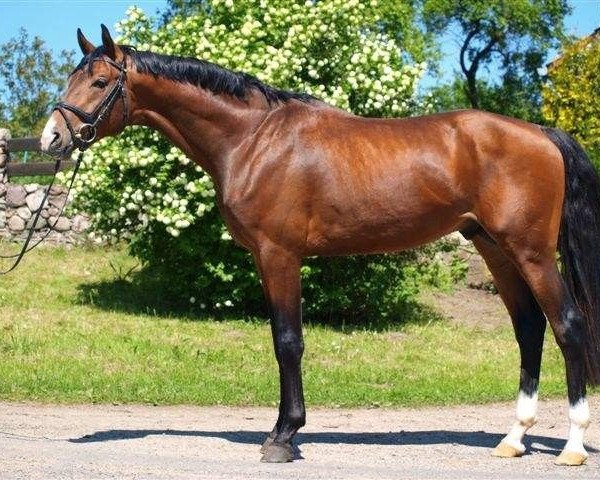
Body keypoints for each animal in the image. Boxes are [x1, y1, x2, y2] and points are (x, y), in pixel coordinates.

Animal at [39, 25, 596, 464]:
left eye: (100, 81)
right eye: (72, 78)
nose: (51, 139)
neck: (252, 138)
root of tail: (543, 133)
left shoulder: (279, 254)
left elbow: (289, 341)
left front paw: (284, 437)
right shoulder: (267, 259)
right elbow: (280, 339)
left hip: (531, 253)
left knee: (567, 326)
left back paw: (571, 445)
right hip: (494, 248)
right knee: (529, 329)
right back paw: (514, 439)